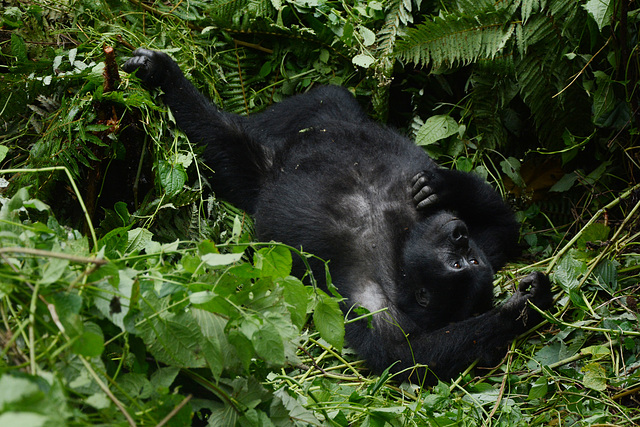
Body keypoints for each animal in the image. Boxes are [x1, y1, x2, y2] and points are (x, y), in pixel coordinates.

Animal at [124, 48, 552, 382]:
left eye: (464, 263)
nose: (459, 234)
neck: (400, 248)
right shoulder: (482, 238)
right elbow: (505, 226)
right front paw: (444, 185)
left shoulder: (371, 302)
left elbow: (406, 358)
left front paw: (523, 308)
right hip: (326, 119)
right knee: (323, 103)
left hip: (263, 172)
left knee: (228, 145)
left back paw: (172, 85)